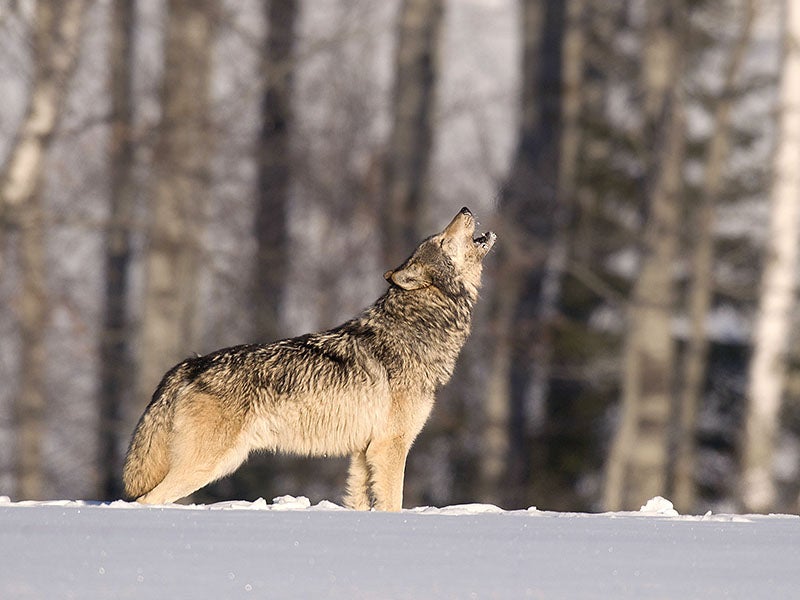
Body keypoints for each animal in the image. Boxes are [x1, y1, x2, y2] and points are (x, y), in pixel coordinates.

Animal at [120, 207, 494, 510]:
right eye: (442, 239)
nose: (465, 208)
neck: (417, 327)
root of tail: (191, 364)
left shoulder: (363, 452)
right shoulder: (390, 447)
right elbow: (394, 503)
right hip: (207, 465)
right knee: (146, 500)